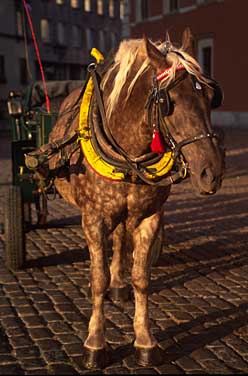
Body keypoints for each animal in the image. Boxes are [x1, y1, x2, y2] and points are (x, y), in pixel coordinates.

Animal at [47, 28, 226, 368]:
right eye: (170, 102)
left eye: (212, 97)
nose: (212, 172)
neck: (129, 154)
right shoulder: (94, 218)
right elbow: (98, 278)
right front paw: (95, 342)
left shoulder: (149, 217)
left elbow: (141, 277)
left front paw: (144, 340)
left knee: (119, 240)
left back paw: (119, 283)